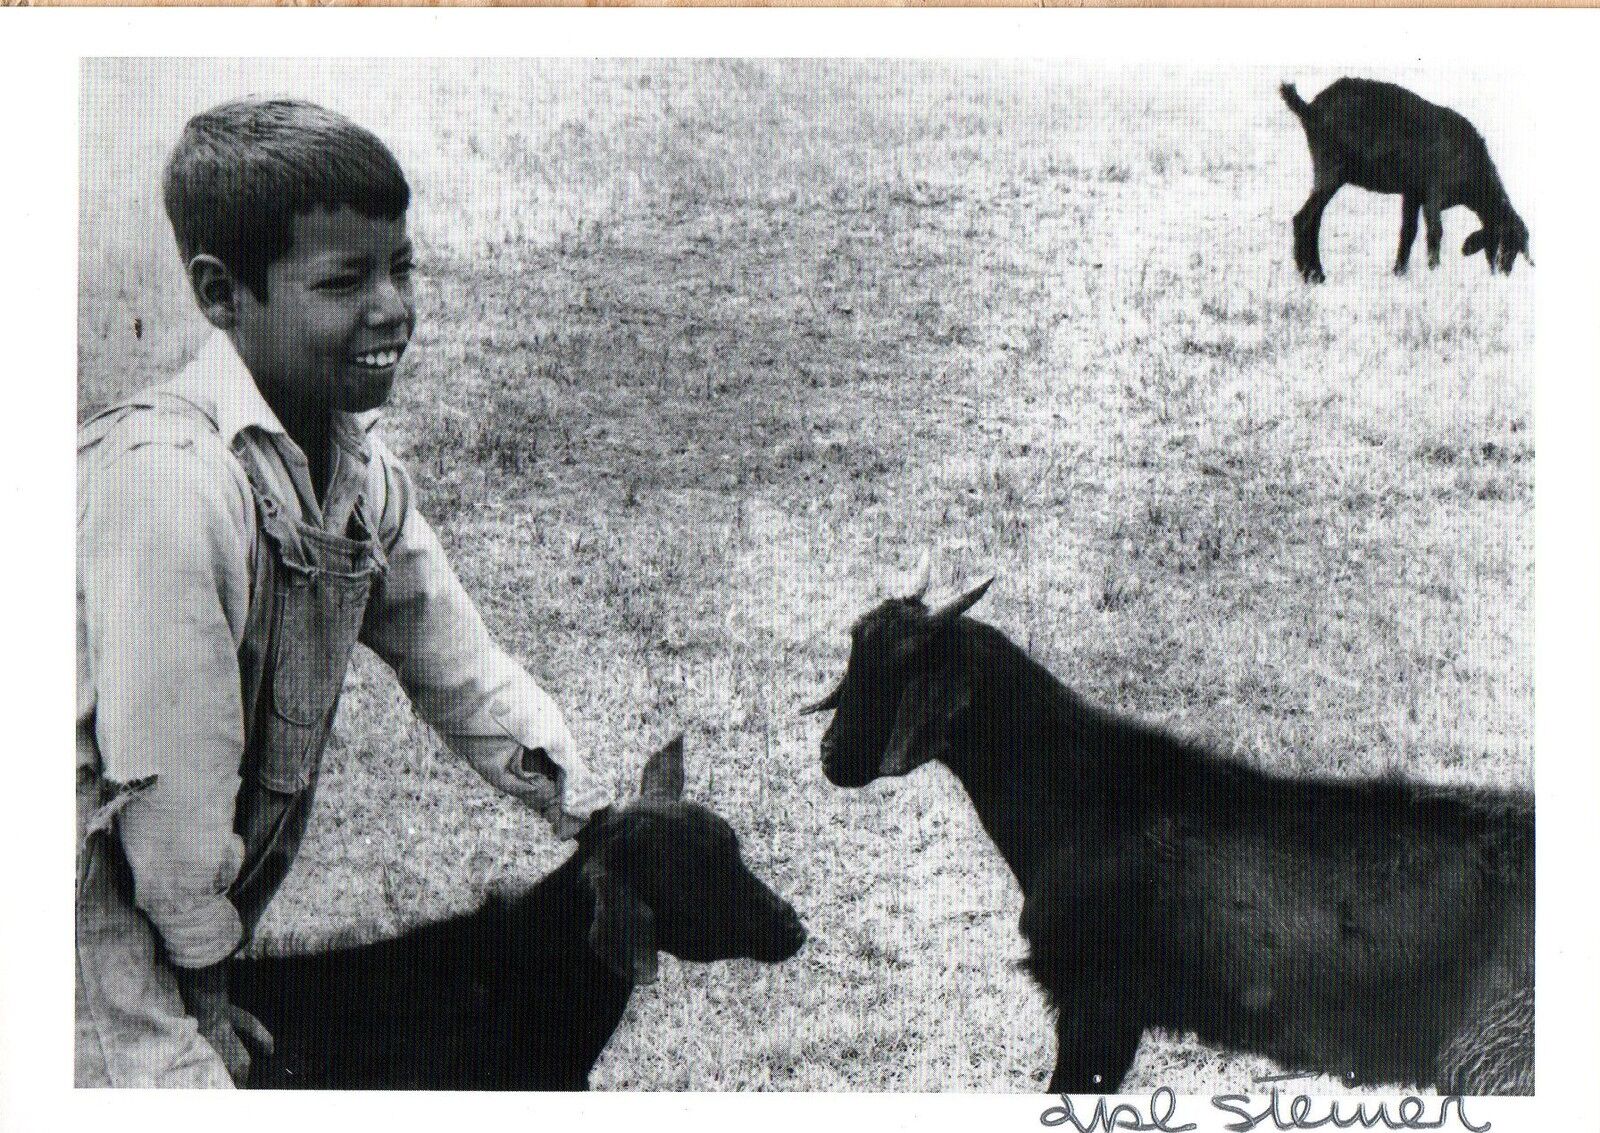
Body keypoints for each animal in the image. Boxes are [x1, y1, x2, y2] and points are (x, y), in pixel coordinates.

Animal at [1280, 77, 1529, 283]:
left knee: (1312, 218)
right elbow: (1435, 232)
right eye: (1507, 243)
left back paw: (1311, 273)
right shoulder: (1433, 192)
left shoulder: (1413, 193)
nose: (1503, 273)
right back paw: (1314, 275)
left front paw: (1400, 272)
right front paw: (1434, 271)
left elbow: (1409, 231)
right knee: (1305, 218)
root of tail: (1310, 109)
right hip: (1331, 168)